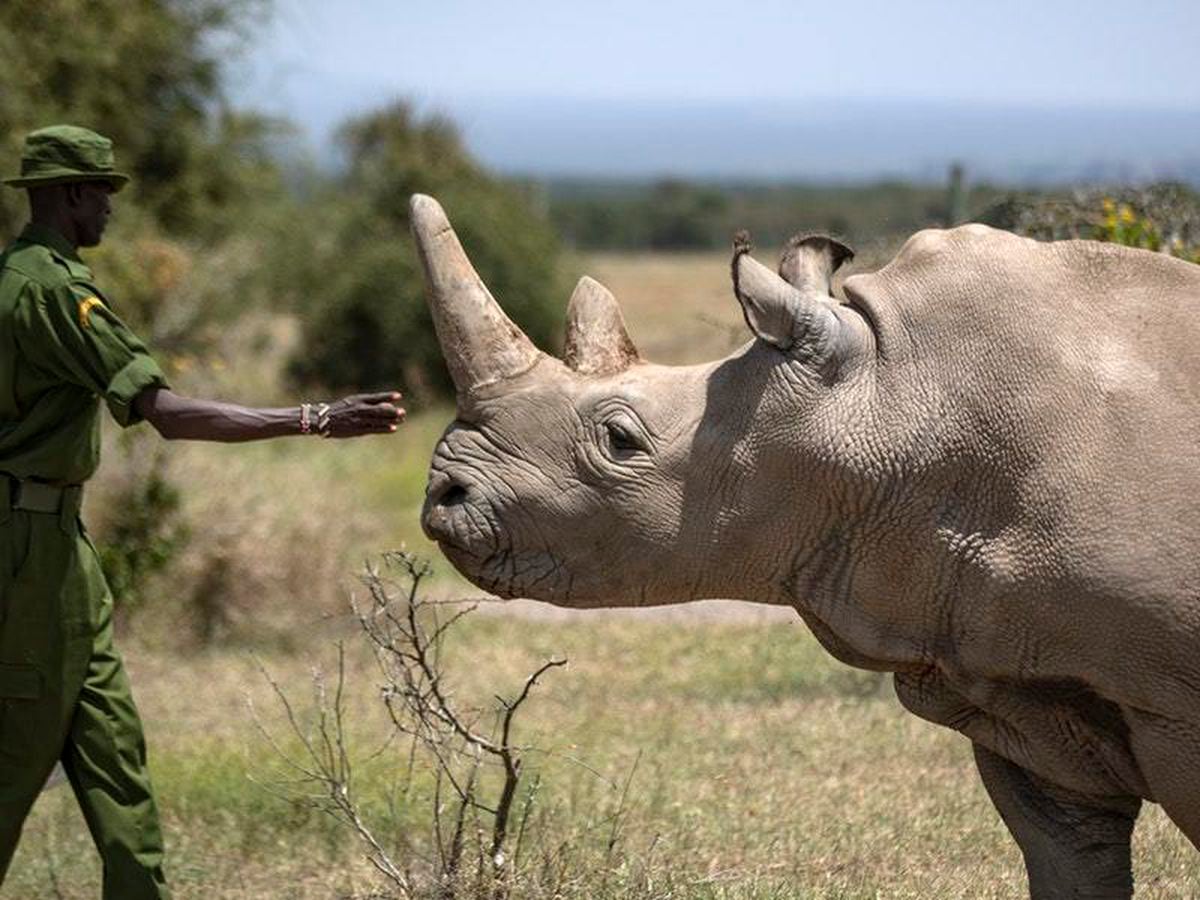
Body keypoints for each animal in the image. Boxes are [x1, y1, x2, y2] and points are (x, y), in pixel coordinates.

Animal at [410, 194, 1200, 897]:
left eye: (620, 440)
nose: (444, 492)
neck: (888, 400)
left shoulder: (1172, 703)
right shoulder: (1016, 681)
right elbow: (1070, 862)